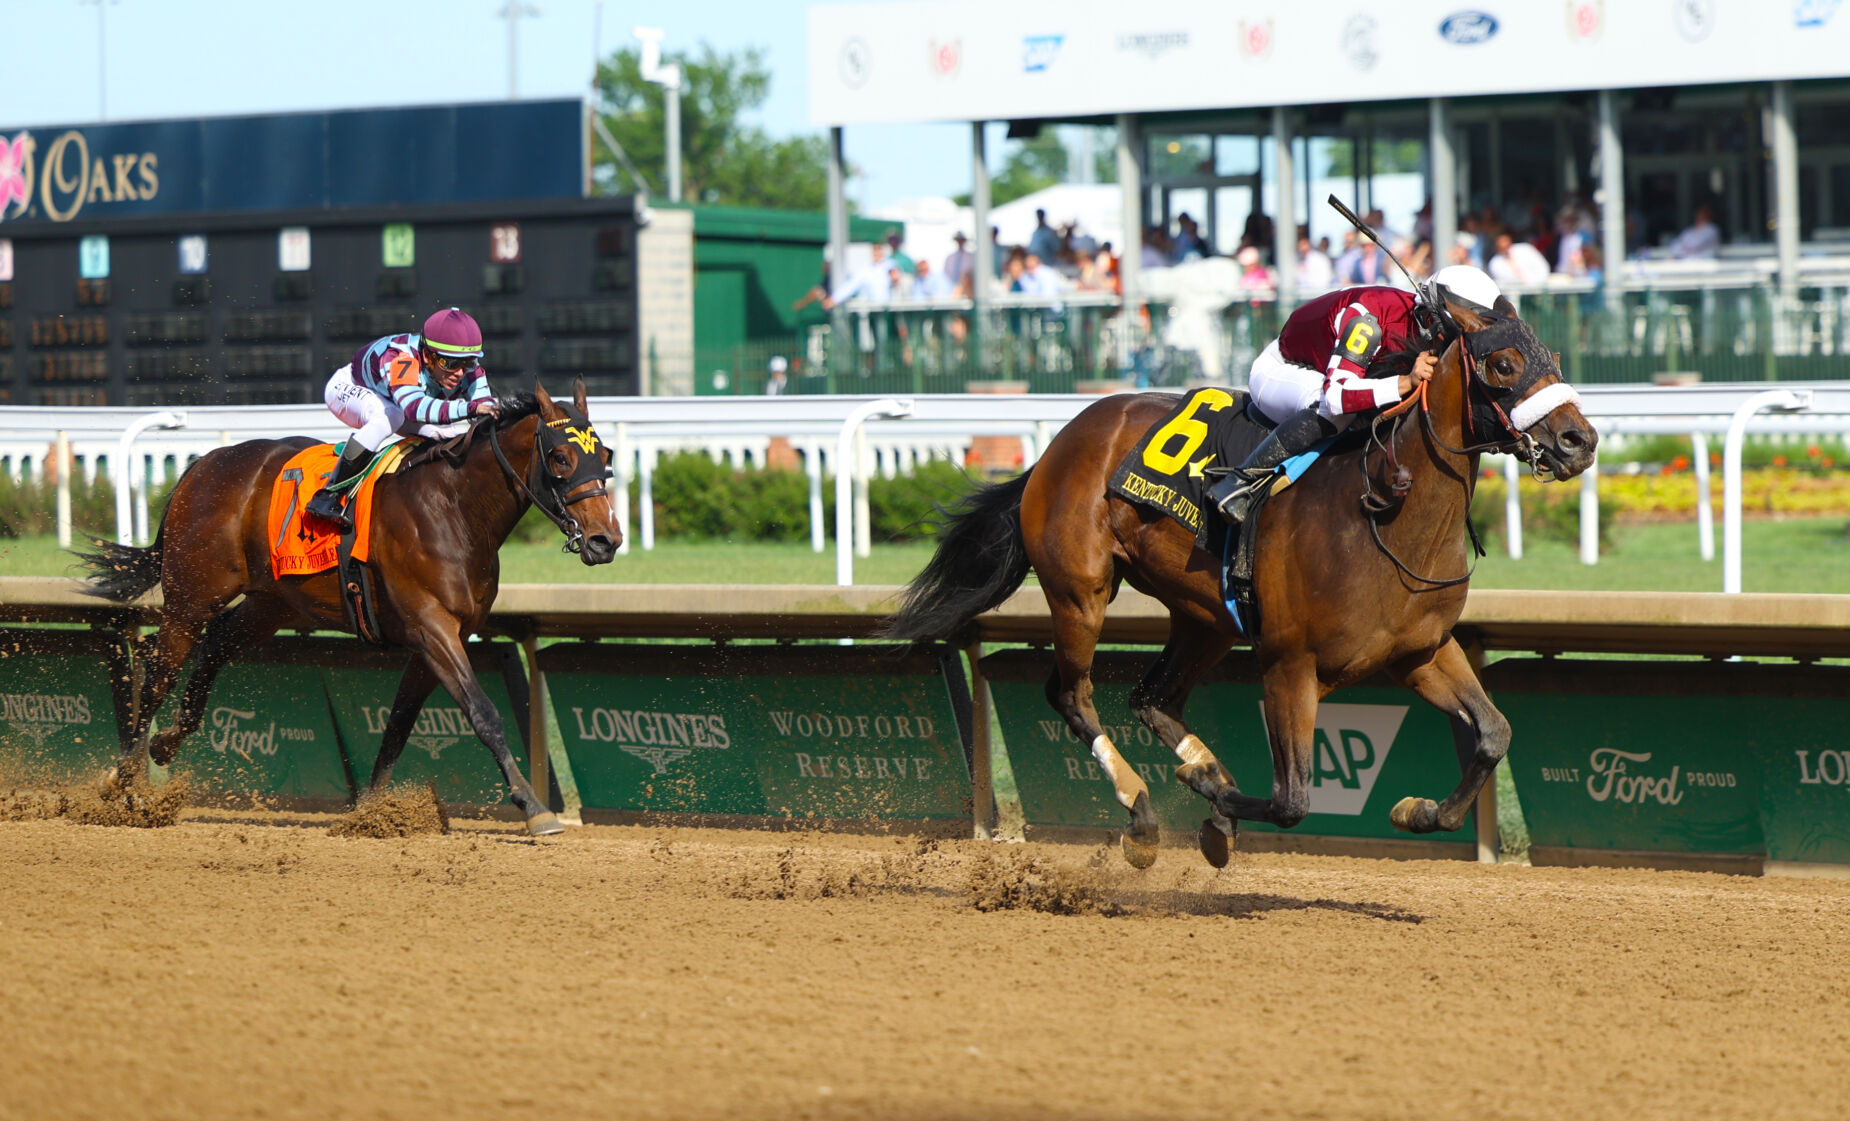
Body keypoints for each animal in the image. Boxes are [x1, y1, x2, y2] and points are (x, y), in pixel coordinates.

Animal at [78, 379, 620, 836]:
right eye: (561, 457)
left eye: (606, 455)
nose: (606, 540)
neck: (455, 509)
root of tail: (203, 463)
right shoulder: (432, 627)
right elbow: (483, 714)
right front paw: (534, 808)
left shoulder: (443, 636)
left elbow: (399, 724)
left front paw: (370, 811)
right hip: (192, 598)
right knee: (157, 668)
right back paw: (123, 782)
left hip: (269, 605)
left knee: (213, 648)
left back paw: (165, 743)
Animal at [885, 292, 1597, 867]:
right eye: (1503, 364)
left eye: (1556, 359)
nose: (1579, 441)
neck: (1386, 517)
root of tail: (1055, 446)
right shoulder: (1289, 663)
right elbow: (1290, 799)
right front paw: (1211, 800)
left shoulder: (1421, 652)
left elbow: (1494, 734)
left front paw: (1414, 810)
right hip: (1079, 592)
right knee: (1071, 694)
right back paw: (1144, 812)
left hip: (1204, 620)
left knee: (1151, 699)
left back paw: (1200, 769)